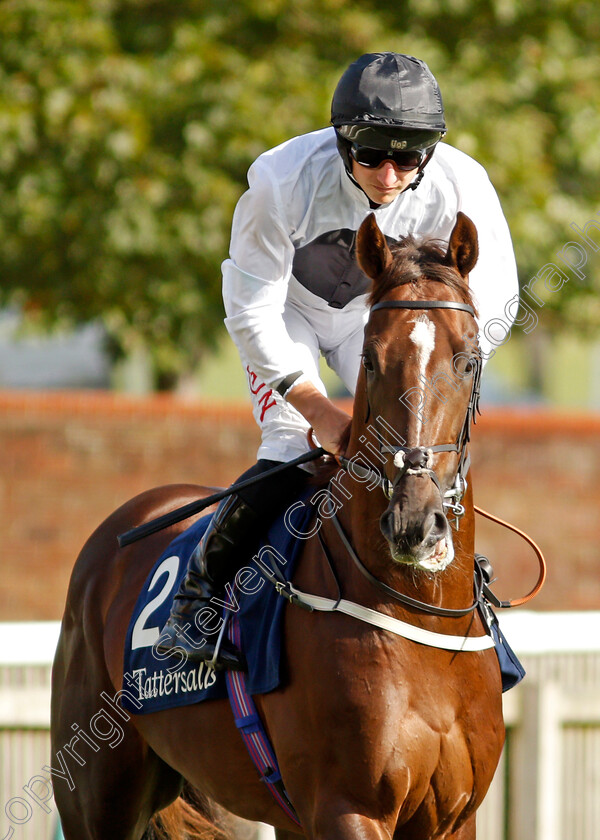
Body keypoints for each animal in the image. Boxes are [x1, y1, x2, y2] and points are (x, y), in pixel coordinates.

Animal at [49, 213, 504, 840]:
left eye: (468, 359)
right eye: (370, 359)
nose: (414, 521)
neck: (418, 615)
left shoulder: (453, 816)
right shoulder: (347, 807)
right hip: (98, 796)